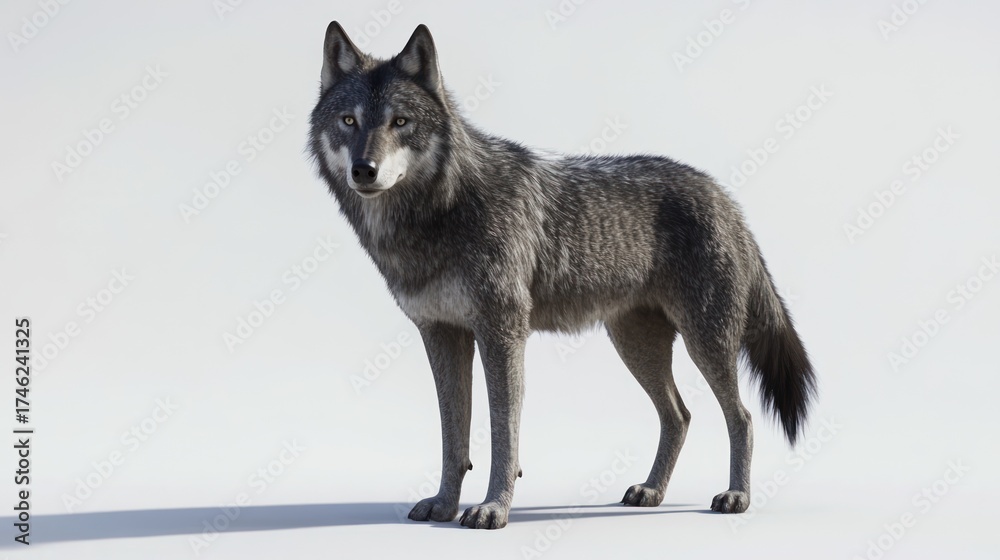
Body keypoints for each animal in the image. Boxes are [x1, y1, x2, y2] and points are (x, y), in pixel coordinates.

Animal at [309, 22, 816, 529]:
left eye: (400, 123)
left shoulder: (502, 333)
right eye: (349, 121)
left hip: (703, 343)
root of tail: (726, 198)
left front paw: (493, 508)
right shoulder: (441, 335)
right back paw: (651, 491)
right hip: (636, 347)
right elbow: (453, 437)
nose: (364, 170)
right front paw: (444, 505)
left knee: (741, 417)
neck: (440, 212)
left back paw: (736, 496)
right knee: (680, 415)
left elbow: (503, 433)